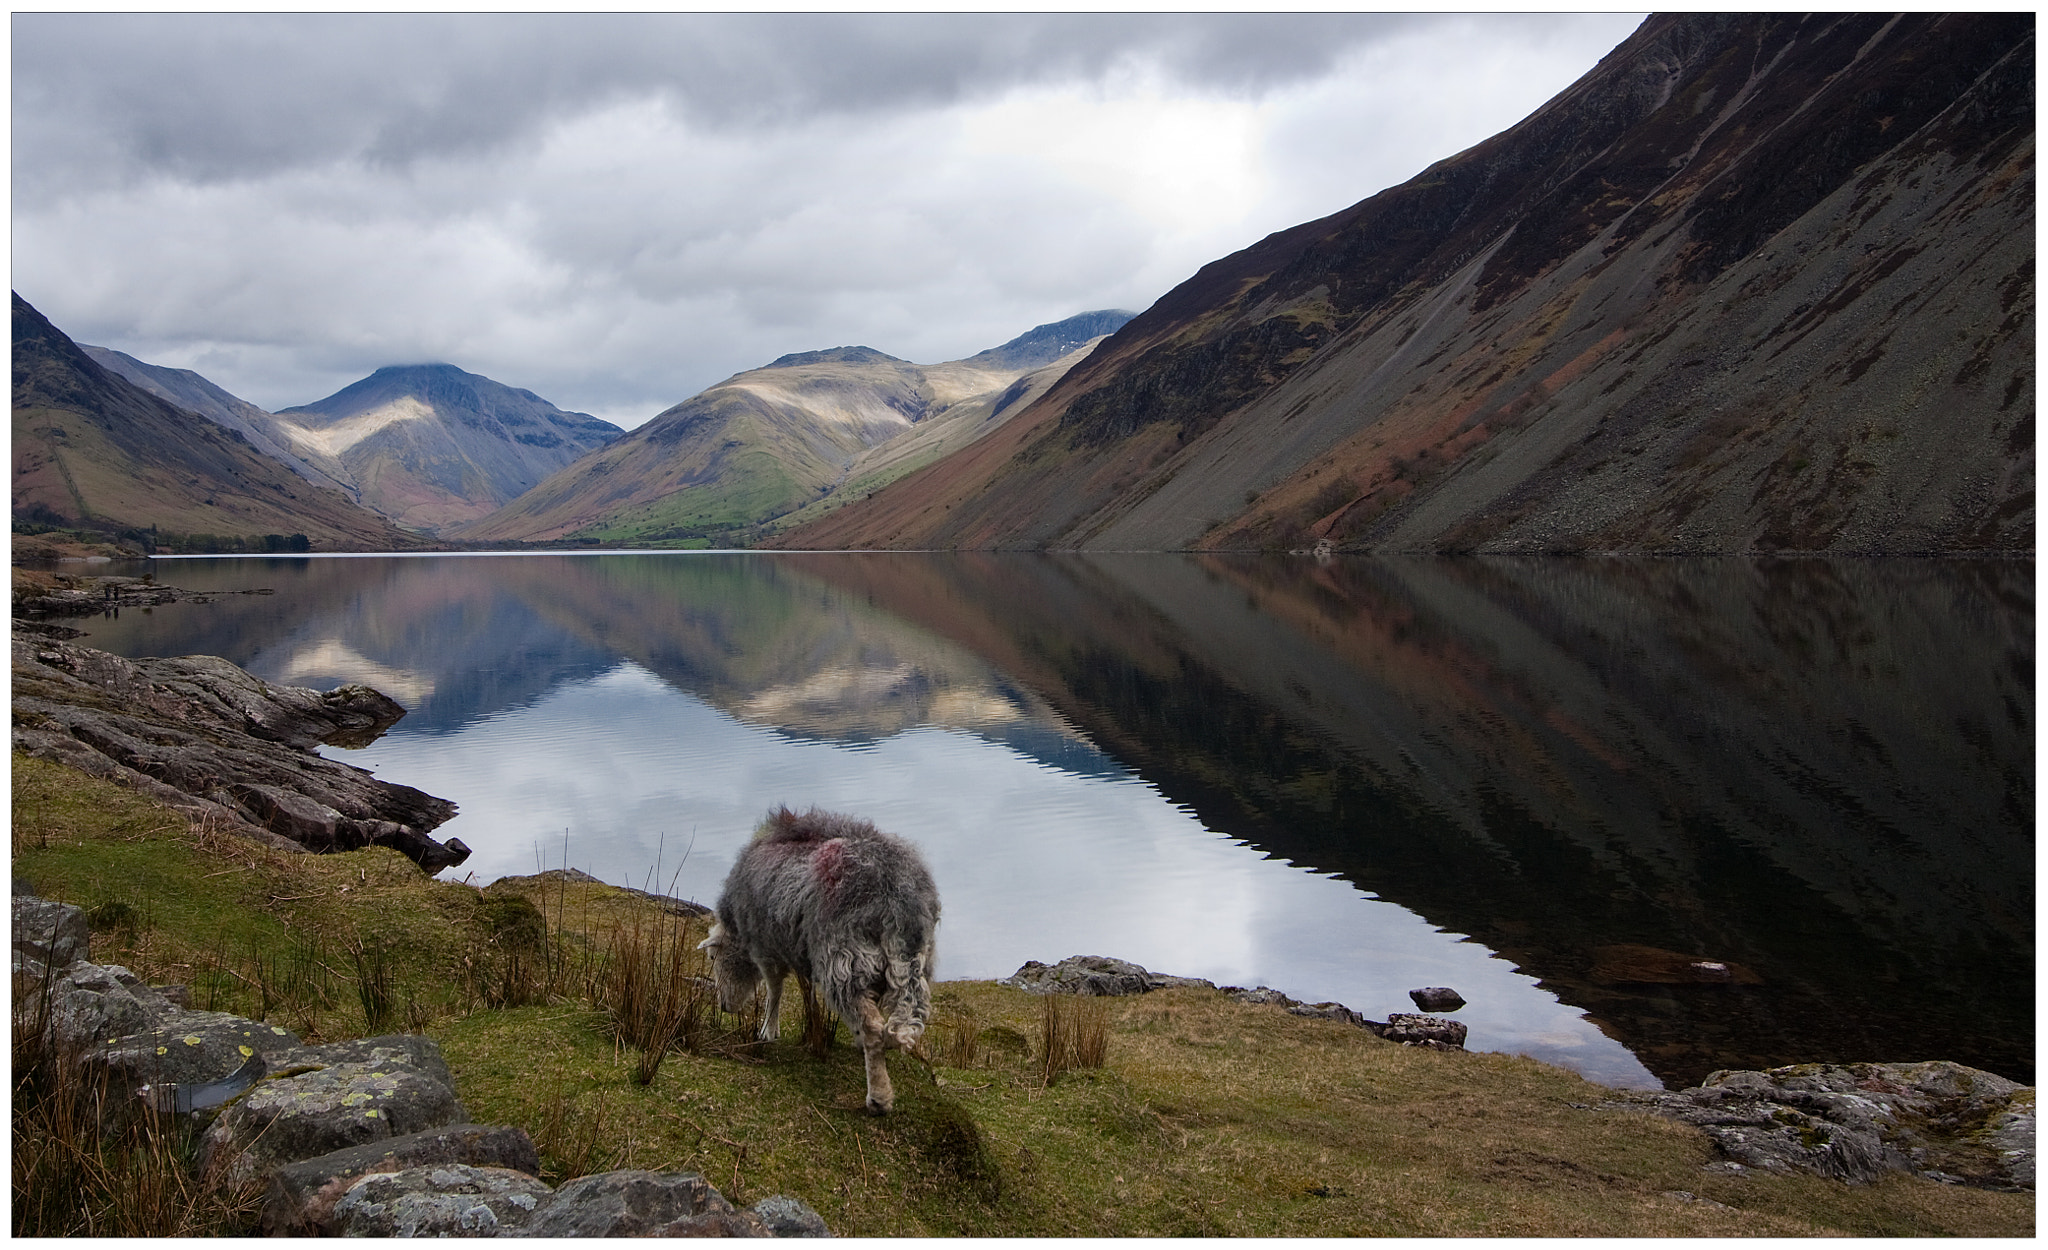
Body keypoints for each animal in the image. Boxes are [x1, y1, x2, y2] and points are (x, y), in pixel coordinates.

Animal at [699, 806, 939, 1114]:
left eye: (713, 956)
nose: (724, 1007)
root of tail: (896, 897)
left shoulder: (765, 947)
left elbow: (774, 990)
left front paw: (768, 1031)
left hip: (843, 958)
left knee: (872, 1025)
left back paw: (878, 1097)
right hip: (912, 963)